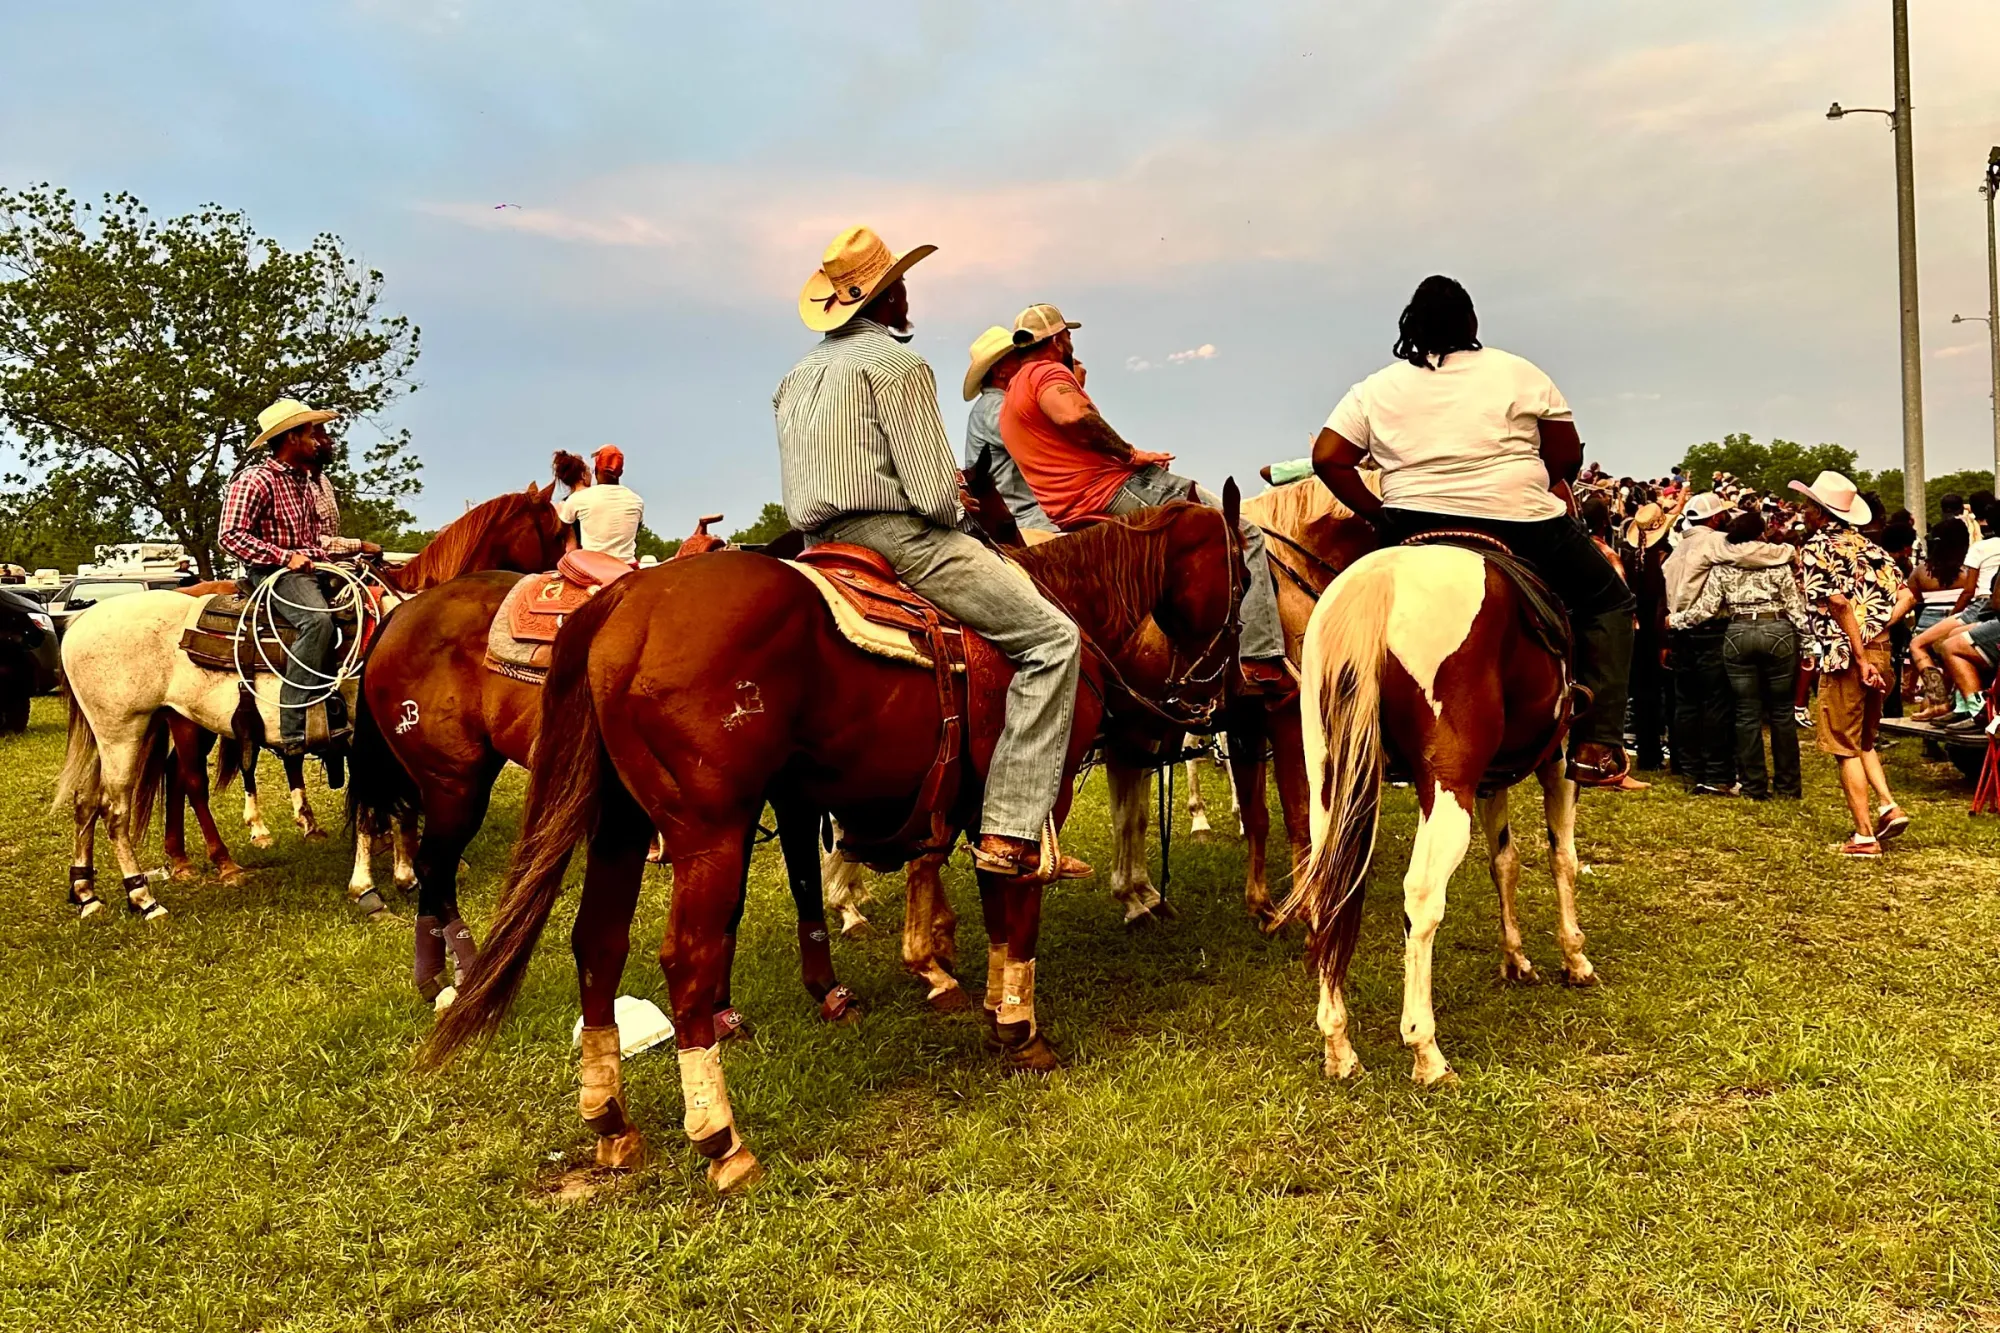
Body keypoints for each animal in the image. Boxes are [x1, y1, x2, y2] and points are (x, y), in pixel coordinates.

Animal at [54, 482, 568, 920]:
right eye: (560, 528)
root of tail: (78, 623)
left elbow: (400, 805)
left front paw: (405, 872)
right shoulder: (370, 740)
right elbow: (374, 808)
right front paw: (370, 888)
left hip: (136, 729)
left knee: (94, 798)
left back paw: (89, 890)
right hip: (128, 730)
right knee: (129, 804)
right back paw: (147, 894)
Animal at [428, 496, 1240, 1184]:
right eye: (1241, 567)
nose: (1217, 693)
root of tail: (622, 604)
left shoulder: (971, 799)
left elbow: (990, 900)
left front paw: (983, 1001)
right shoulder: (1039, 785)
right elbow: (1017, 905)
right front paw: (1020, 1027)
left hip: (621, 826)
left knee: (597, 944)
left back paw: (611, 1121)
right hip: (706, 830)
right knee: (686, 959)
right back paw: (722, 1140)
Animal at [1280, 536, 1592, 1088]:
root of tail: (1379, 582)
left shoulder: (1492, 781)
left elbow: (1505, 862)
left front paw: (1515, 958)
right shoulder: (1558, 761)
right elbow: (1563, 859)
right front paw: (1574, 957)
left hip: (1329, 784)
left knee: (1325, 894)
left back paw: (1338, 1046)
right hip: (1449, 791)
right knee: (1422, 897)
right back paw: (1425, 1050)